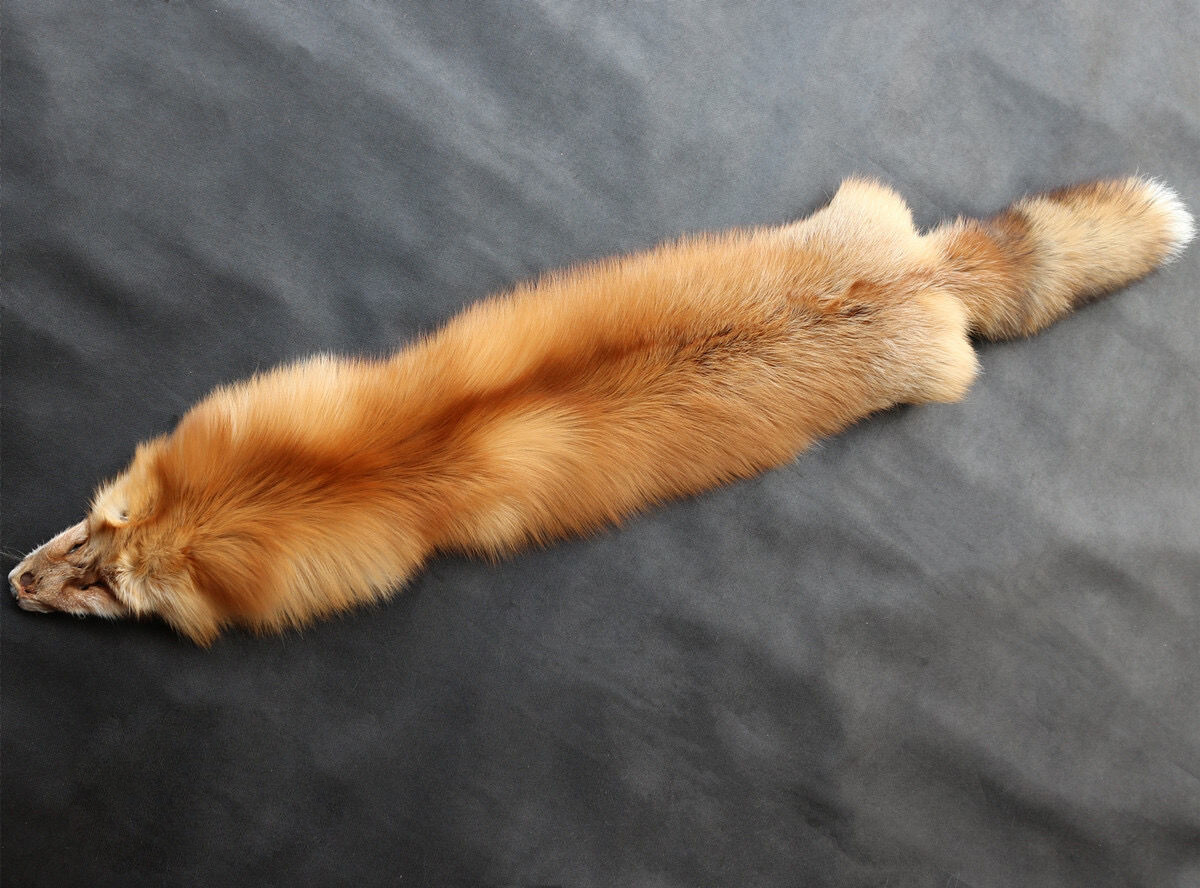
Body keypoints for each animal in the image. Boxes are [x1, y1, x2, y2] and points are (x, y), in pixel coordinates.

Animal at [7, 176, 1194, 645]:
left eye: (107, 589)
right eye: (89, 531)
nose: (11, 584)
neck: (376, 455)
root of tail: (926, 273)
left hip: (930, 368)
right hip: (859, 208)